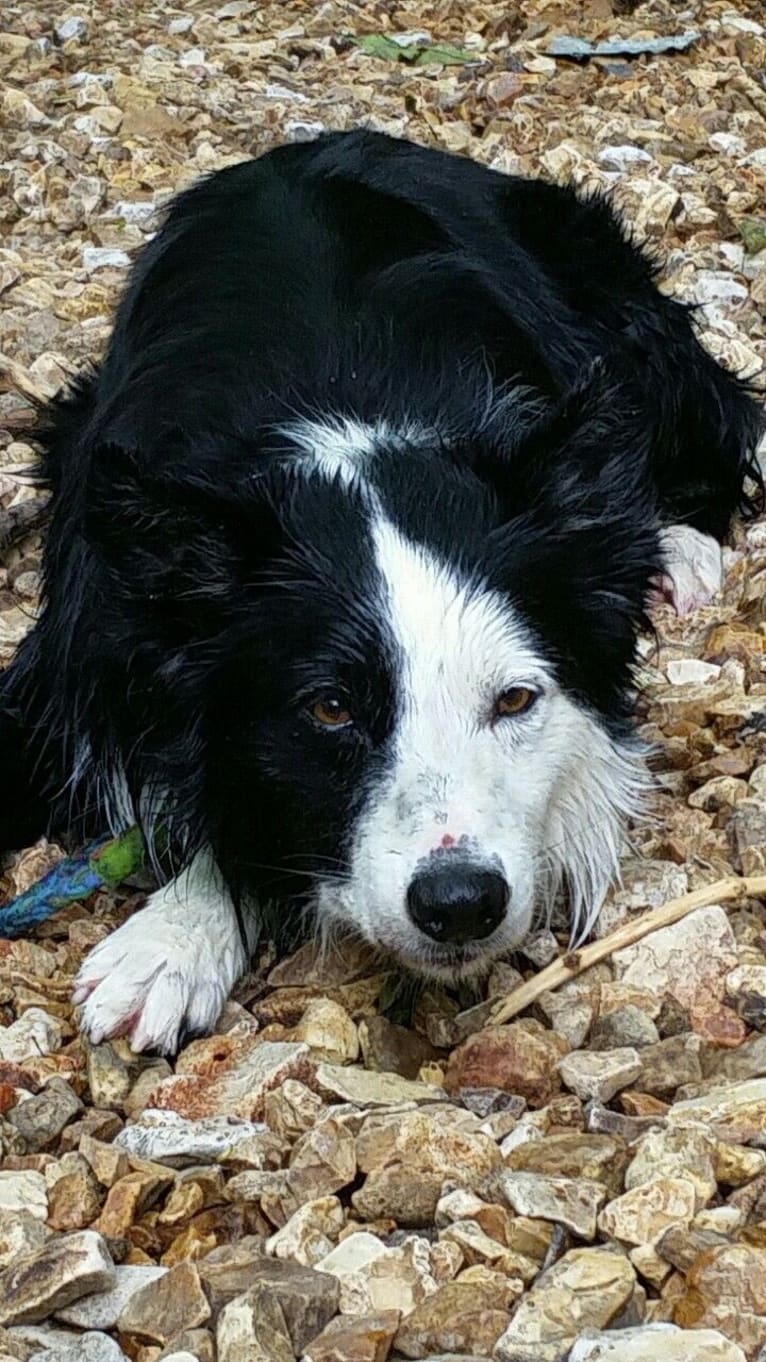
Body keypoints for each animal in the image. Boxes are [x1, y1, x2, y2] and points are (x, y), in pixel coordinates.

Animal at [0, 130, 757, 1051]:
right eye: (329, 708)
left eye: (514, 699)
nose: (461, 904)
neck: (347, 436)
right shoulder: (76, 664)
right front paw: (177, 934)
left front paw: (175, 935)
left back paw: (671, 544)